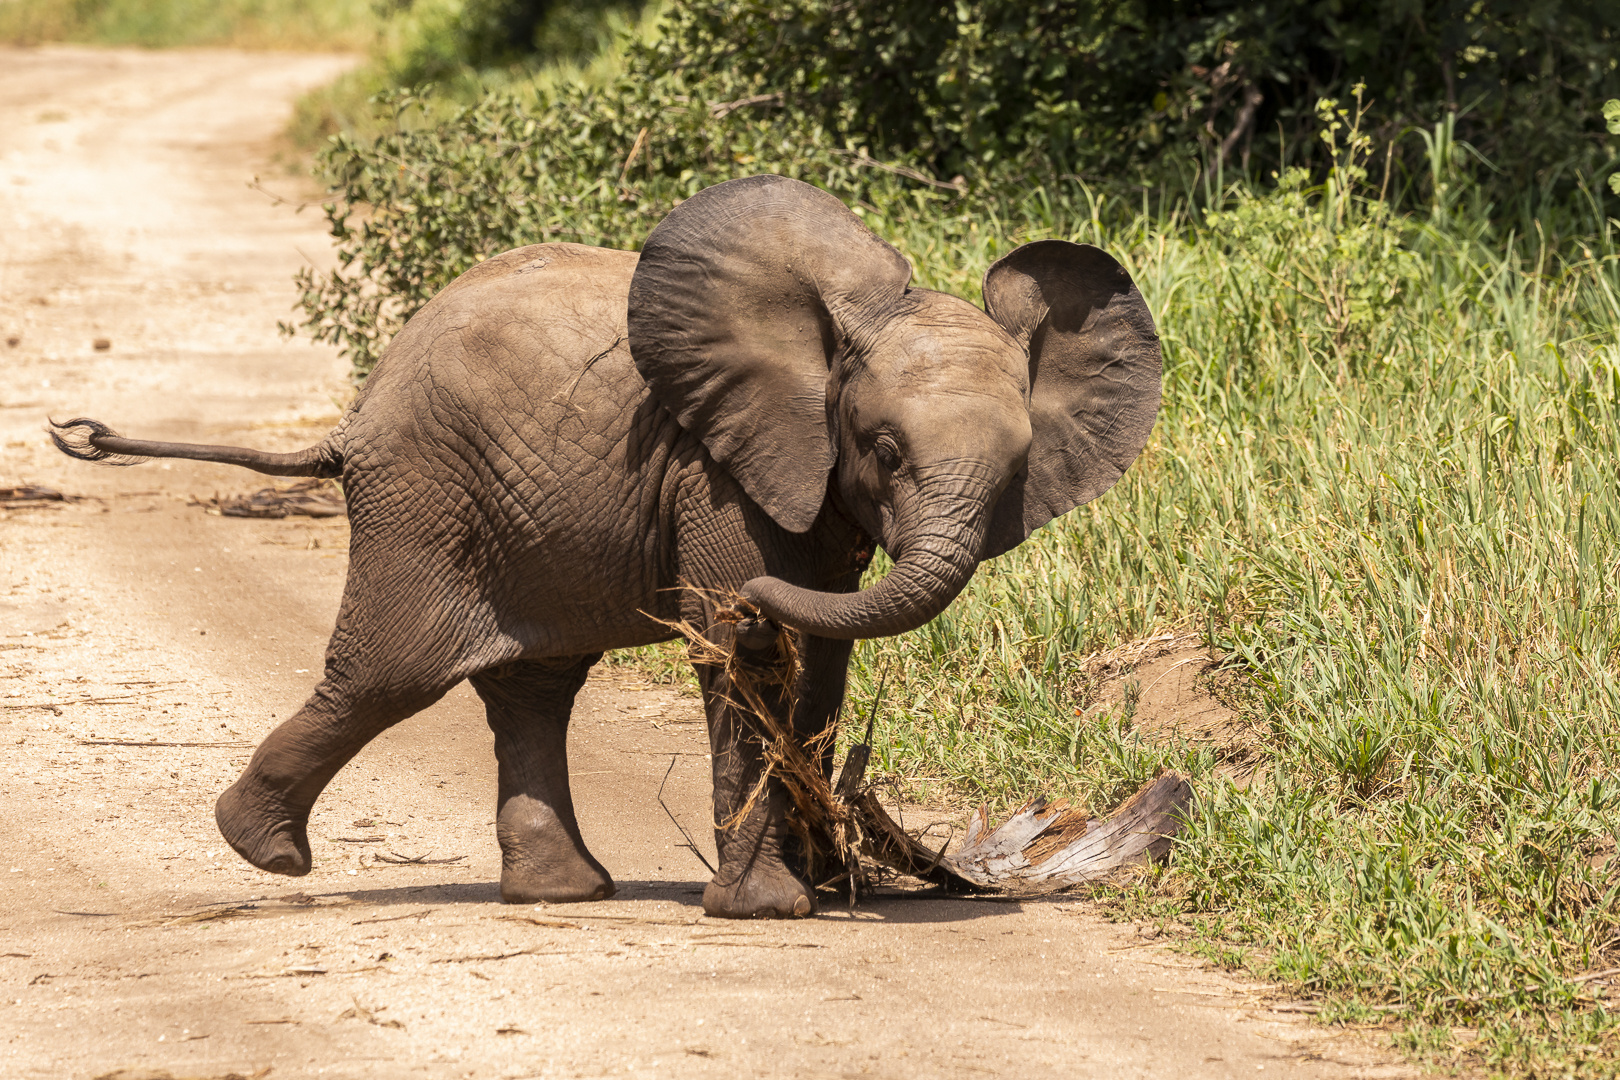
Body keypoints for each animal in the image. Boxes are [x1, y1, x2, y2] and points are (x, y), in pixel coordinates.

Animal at [53, 177, 1166, 919]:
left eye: (1019, 469)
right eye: (884, 449)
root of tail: (354, 416)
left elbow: (822, 669)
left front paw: (824, 880)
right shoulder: (717, 469)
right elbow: (746, 658)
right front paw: (772, 908)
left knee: (535, 684)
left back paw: (564, 892)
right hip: (428, 495)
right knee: (388, 673)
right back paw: (267, 855)